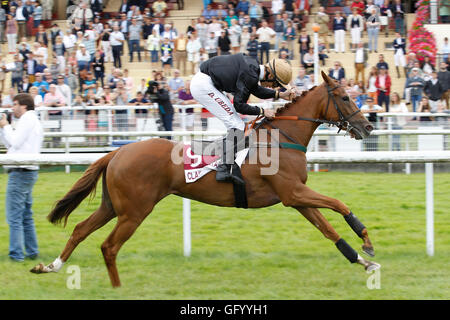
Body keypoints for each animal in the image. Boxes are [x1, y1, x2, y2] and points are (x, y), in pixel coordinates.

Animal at [30, 72, 380, 288]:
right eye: (345, 97)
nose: (368, 127)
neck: (283, 138)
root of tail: (117, 151)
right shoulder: (294, 192)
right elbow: (339, 204)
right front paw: (367, 241)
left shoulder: (295, 198)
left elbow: (329, 229)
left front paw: (363, 261)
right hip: (134, 211)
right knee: (109, 246)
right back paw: (117, 288)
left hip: (113, 206)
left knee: (80, 230)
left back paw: (50, 266)